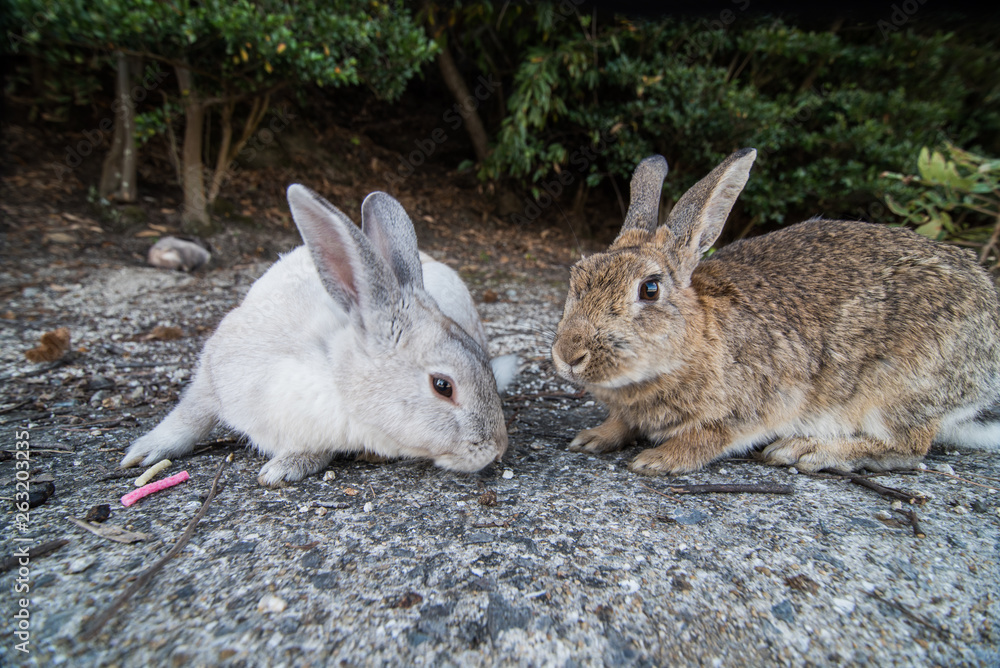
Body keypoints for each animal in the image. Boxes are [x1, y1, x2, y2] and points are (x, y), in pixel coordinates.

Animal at [121, 185, 514, 486]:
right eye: (443, 386)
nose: (497, 448)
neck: (332, 376)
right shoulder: (212, 375)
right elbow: (189, 416)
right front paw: (142, 452)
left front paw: (283, 469)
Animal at [551, 148, 1000, 474]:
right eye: (577, 276)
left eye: (650, 289)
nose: (569, 354)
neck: (695, 340)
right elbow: (622, 422)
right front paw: (593, 437)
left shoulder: (755, 406)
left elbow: (710, 437)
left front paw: (657, 460)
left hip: (897, 388)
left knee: (908, 447)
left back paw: (806, 451)